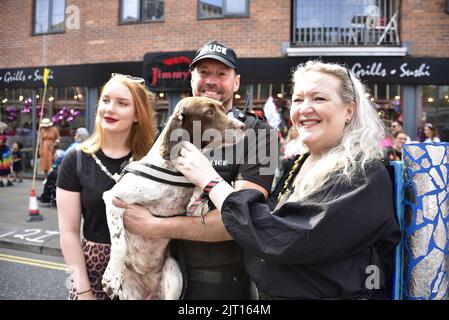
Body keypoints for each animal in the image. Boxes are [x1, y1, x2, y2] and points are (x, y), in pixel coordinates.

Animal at [101, 97, 243, 300]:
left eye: (223, 109)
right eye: (209, 112)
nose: (243, 126)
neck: (174, 171)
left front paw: (197, 194)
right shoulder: (114, 198)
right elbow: (120, 244)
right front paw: (111, 277)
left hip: (173, 275)